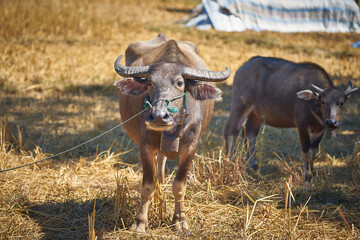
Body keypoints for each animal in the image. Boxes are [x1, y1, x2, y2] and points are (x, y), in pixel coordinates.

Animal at [113, 32, 231, 232]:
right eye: (150, 82)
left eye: (180, 82)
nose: (159, 116)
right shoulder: (145, 146)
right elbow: (148, 185)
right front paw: (140, 222)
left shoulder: (191, 149)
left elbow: (179, 186)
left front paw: (180, 221)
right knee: (157, 175)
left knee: (161, 172)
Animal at [225, 56, 358, 182]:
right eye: (323, 102)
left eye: (341, 103)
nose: (331, 122)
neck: (312, 105)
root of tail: (243, 67)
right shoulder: (302, 126)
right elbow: (306, 150)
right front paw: (307, 176)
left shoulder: (320, 130)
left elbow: (314, 151)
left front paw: (312, 174)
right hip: (240, 105)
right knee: (231, 132)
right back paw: (228, 162)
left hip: (256, 114)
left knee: (249, 133)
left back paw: (253, 165)